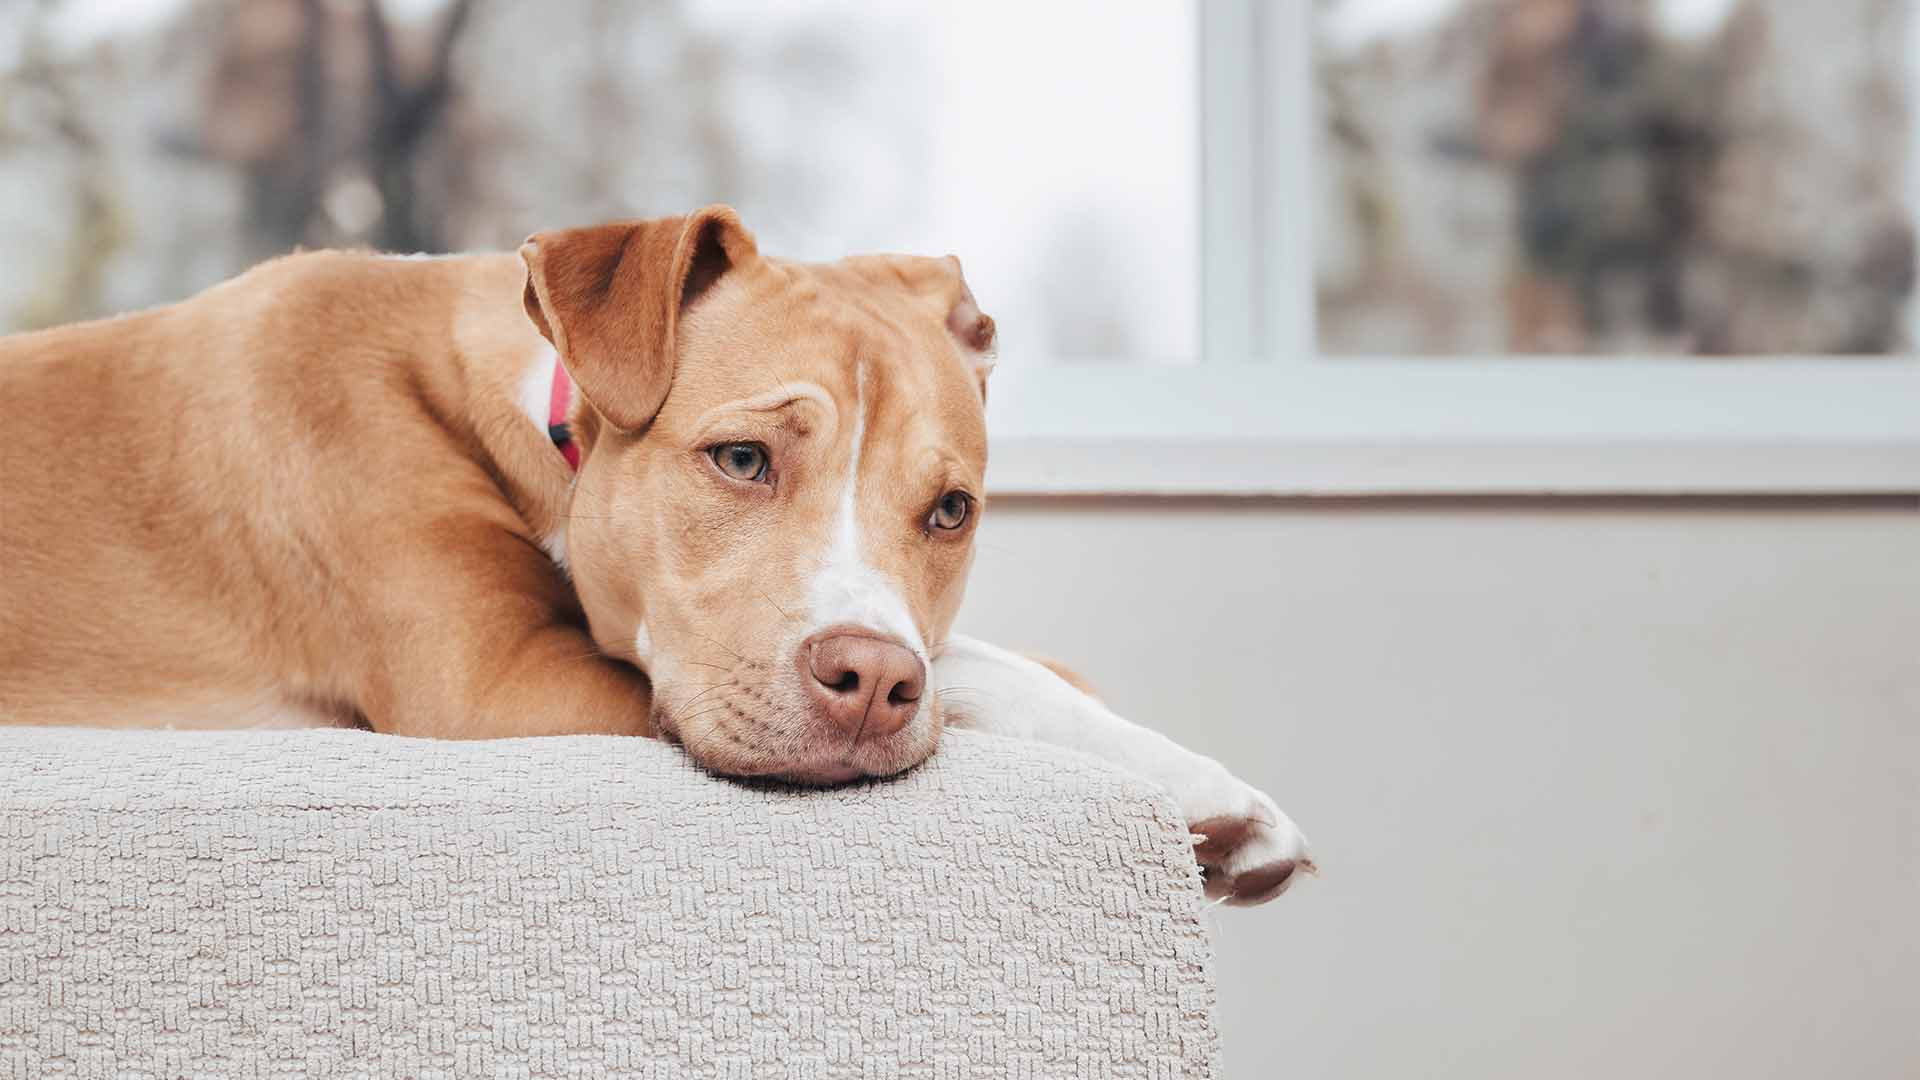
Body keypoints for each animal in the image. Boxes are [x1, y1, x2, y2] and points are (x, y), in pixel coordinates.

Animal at [0, 208, 1313, 899]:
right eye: (740, 460)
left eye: (951, 512)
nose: (875, 685)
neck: (539, 408)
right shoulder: (492, 685)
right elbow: (976, 672)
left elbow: (983, 657)